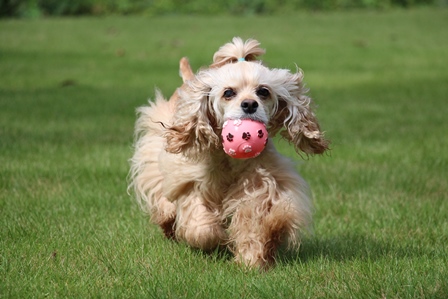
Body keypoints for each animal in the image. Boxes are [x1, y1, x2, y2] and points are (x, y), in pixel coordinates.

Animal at [128, 37, 328, 270]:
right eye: (228, 92)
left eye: (263, 91)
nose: (249, 104)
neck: (229, 160)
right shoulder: (192, 180)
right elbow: (201, 225)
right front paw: (212, 238)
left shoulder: (258, 184)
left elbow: (255, 219)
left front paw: (252, 258)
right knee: (163, 199)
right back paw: (167, 221)